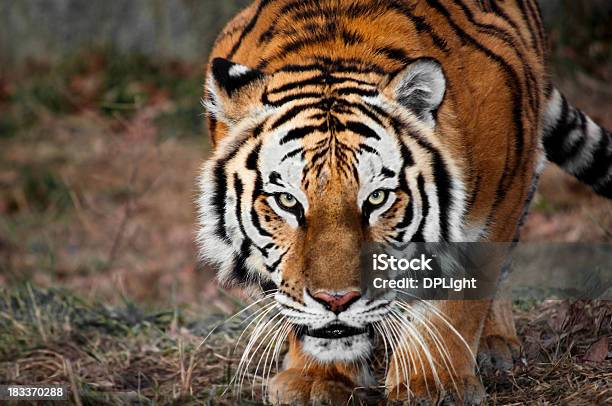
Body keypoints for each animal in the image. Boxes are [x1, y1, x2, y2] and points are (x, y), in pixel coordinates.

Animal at [196, 1, 612, 404]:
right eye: (286, 201)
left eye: (377, 197)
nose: (336, 300)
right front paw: (318, 378)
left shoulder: (492, 210)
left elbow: (455, 301)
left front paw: (433, 383)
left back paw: (496, 344)